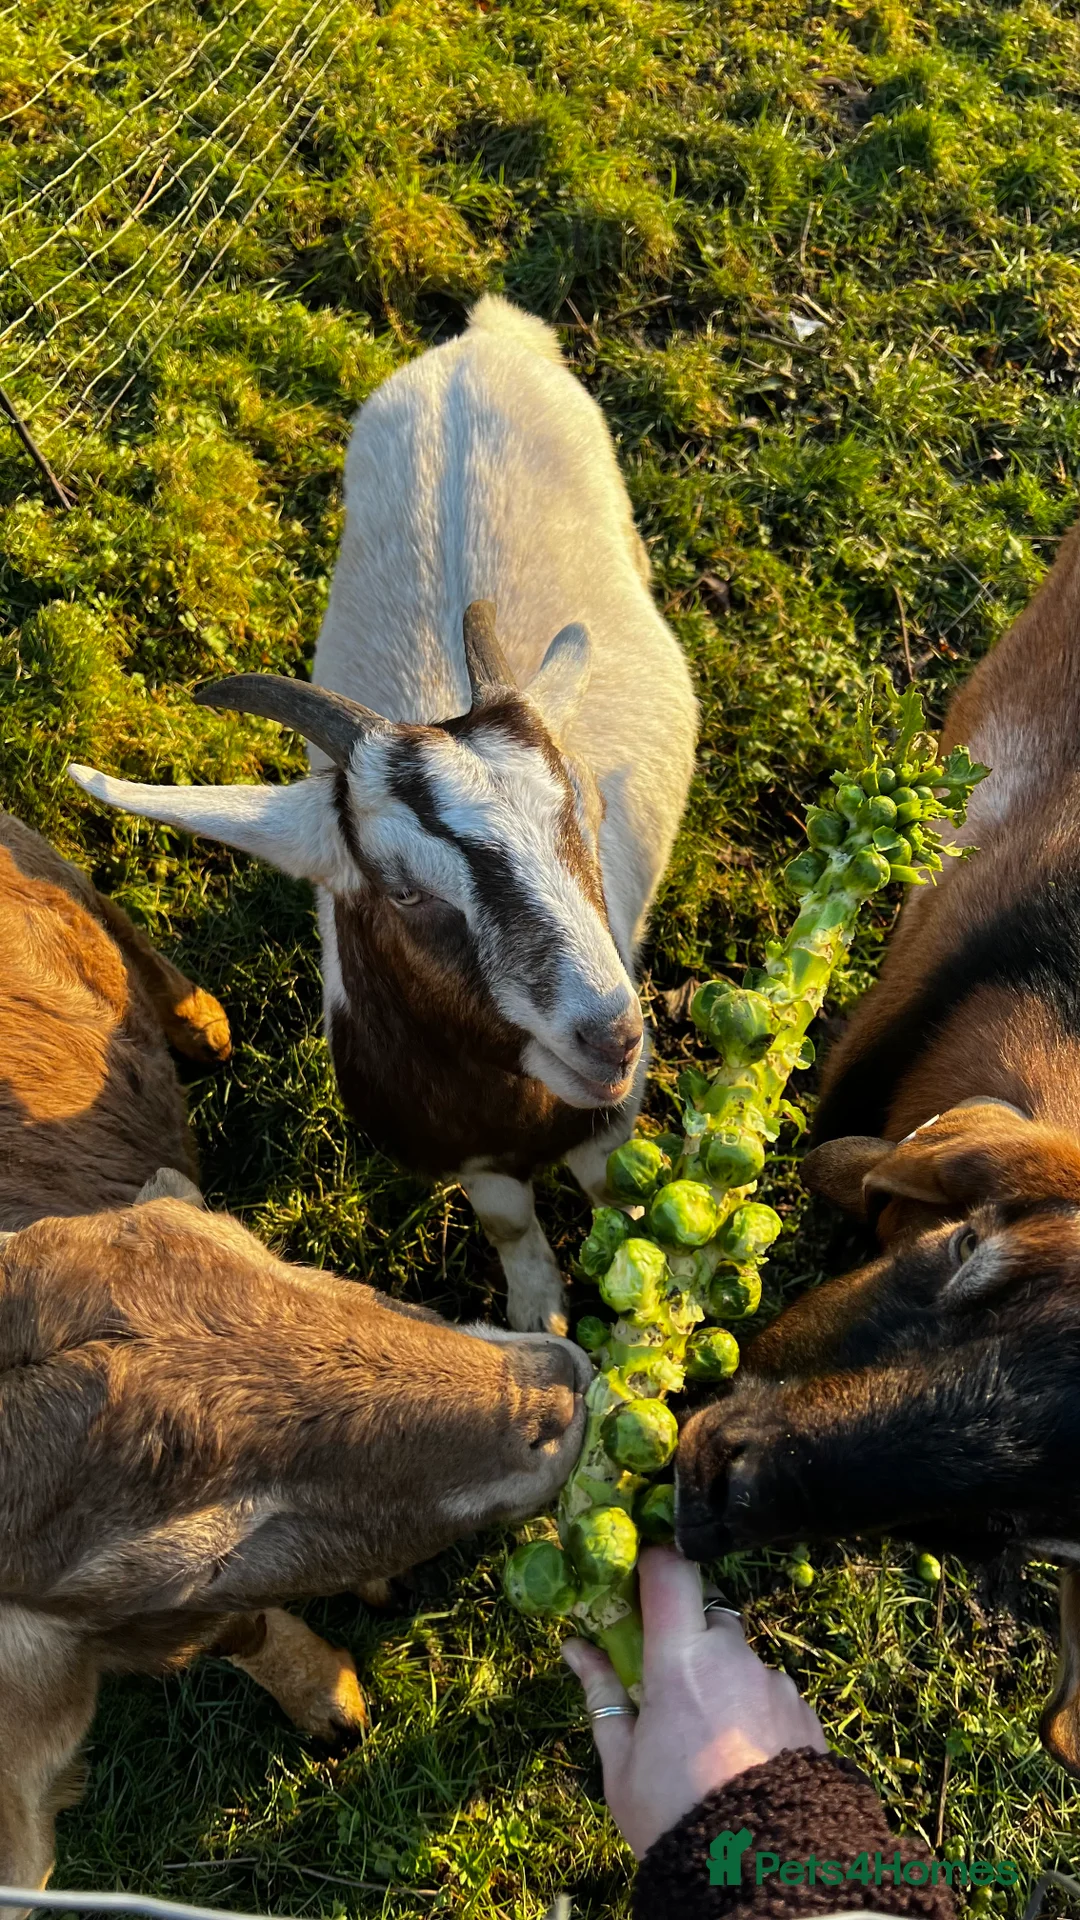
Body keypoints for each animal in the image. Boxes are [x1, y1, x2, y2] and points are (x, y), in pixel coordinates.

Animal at [0, 813, 589, 1900]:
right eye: (198, 1554)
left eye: (231, 1240)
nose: (556, 1392)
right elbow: (241, 1630)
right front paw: (330, 1695)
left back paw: (200, 1023)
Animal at [69, 294, 698, 1335]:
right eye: (403, 890)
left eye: (580, 811)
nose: (610, 1036)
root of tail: (479, 342)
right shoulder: (468, 1158)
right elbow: (512, 1229)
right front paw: (540, 1316)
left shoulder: (610, 1118)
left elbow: (619, 1198)